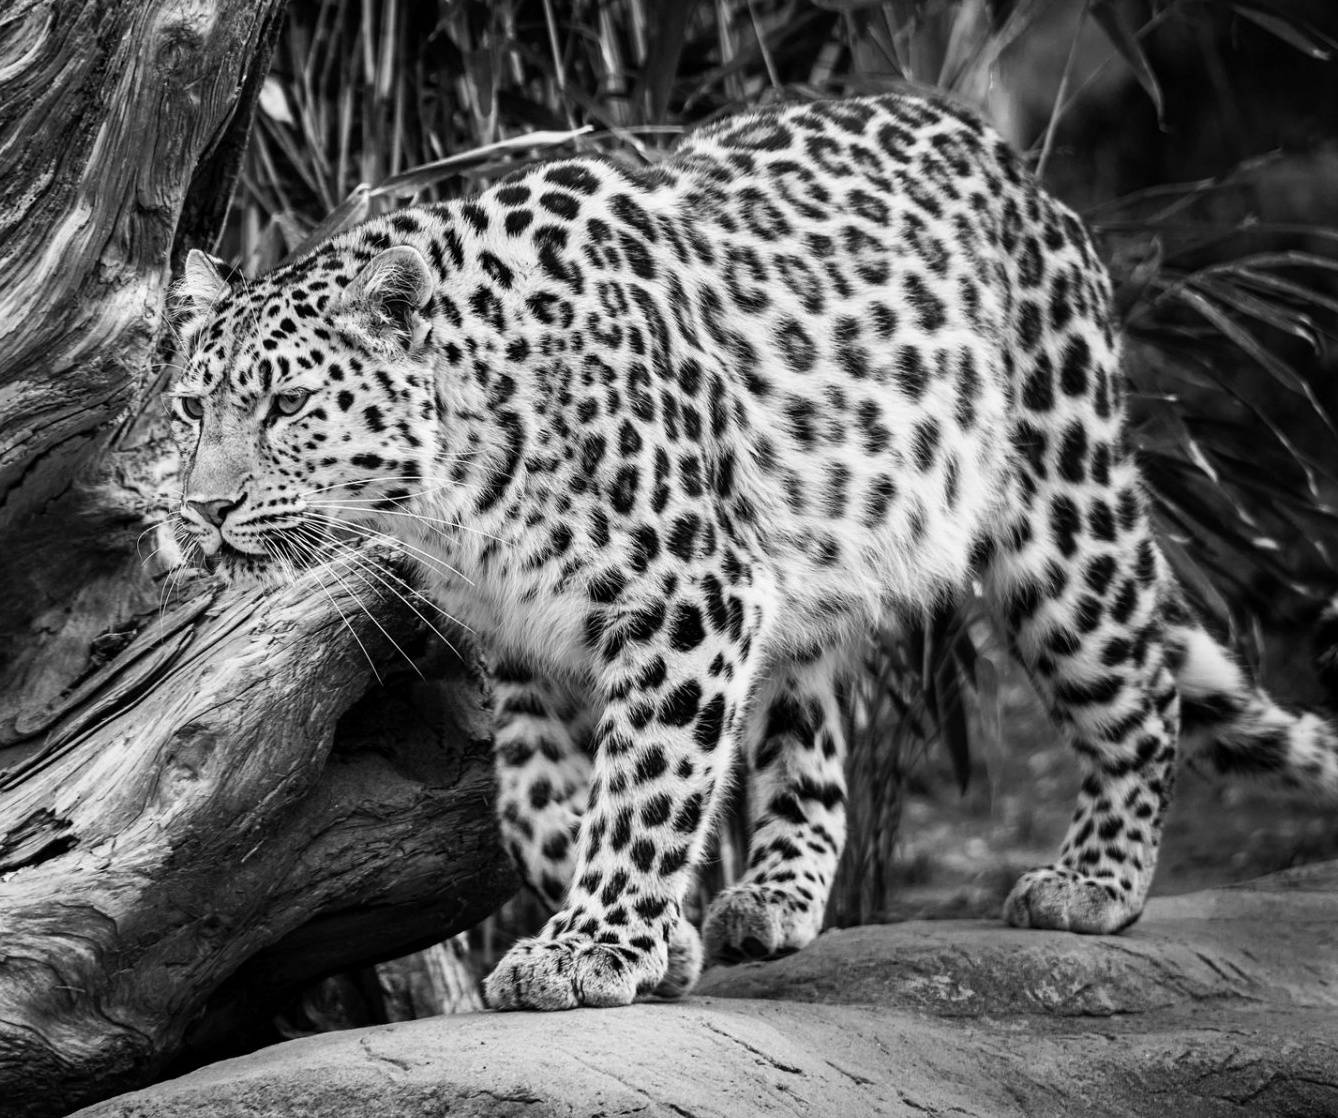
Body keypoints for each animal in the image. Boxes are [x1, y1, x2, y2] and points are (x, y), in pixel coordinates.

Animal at [167, 89, 1338, 1012]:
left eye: (286, 406)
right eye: (189, 408)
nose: (204, 509)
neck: (450, 497)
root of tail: (1015, 165)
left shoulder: (689, 595)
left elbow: (647, 777)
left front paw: (592, 948)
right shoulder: (529, 642)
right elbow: (537, 802)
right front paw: (657, 937)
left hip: (1060, 505)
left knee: (1140, 688)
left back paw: (1094, 881)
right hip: (811, 566)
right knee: (814, 746)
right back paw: (770, 899)